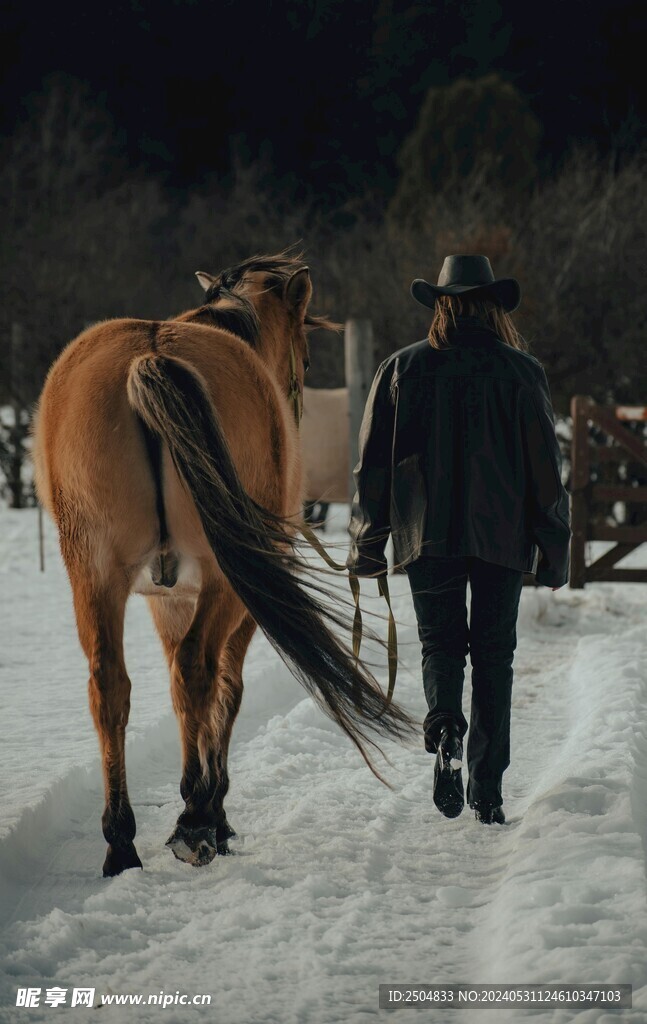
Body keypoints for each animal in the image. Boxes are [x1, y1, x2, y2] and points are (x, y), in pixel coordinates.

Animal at [32, 253, 415, 876]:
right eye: (305, 356)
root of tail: (149, 356)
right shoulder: (231, 600)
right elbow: (226, 690)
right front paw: (215, 811)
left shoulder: (170, 599)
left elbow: (176, 688)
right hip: (219, 581)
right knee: (199, 670)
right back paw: (193, 821)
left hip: (93, 575)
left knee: (112, 685)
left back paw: (122, 843)